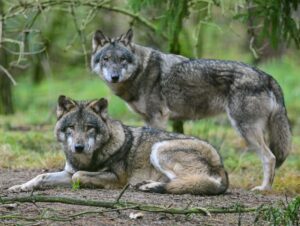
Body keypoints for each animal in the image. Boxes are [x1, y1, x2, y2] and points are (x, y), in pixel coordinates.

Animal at [8, 95, 229, 194]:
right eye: (71, 127)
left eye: (89, 128)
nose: (78, 147)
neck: (88, 159)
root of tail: (221, 165)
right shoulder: (68, 172)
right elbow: (42, 176)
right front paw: (20, 186)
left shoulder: (116, 177)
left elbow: (79, 177)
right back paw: (148, 184)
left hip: (159, 148)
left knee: (189, 182)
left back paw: (151, 186)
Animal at [89, 28, 290, 191]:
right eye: (106, 59)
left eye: (122, 59)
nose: (114, 76)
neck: (141, 72)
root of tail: (267, 76)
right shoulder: (148, 119)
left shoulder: (157, 118)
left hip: (245, 130)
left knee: (270, 157)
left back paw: (264, 188)